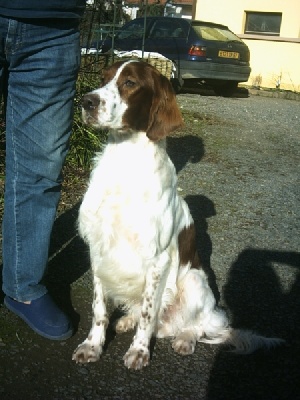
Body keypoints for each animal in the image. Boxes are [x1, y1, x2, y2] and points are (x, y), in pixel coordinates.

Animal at [72, 59, 284, 368]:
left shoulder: (157, 258)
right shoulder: (99, 249)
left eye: (130, 83)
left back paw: (185, 339)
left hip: (195, 281)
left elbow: (148, 313)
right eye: (103, 78)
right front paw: (92, 346)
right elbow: (99, 309)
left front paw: (138, 351)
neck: (126, 162)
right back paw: (127, 321)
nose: (86, 101)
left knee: (200, 325)